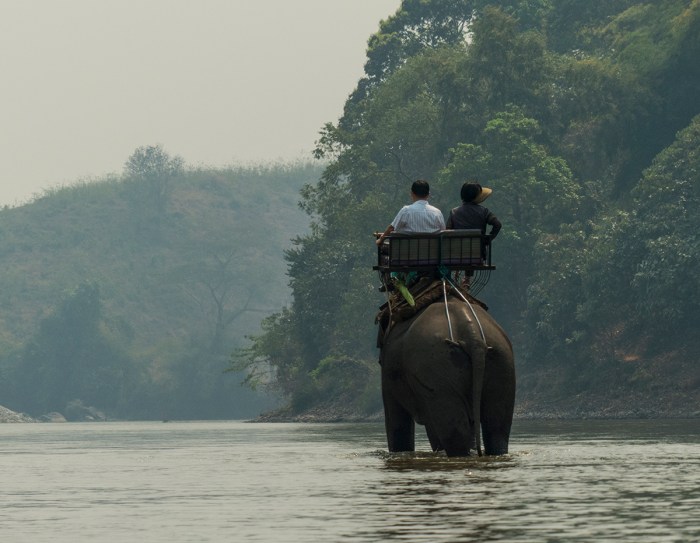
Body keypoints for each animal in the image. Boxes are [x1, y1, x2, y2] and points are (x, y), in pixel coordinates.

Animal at [378, 281, 515, 457]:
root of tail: (472, 333)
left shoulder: (389, 372)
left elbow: (396, 418)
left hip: (435, 367)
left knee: (453, 429)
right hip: (502, 360)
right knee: (497, 427)